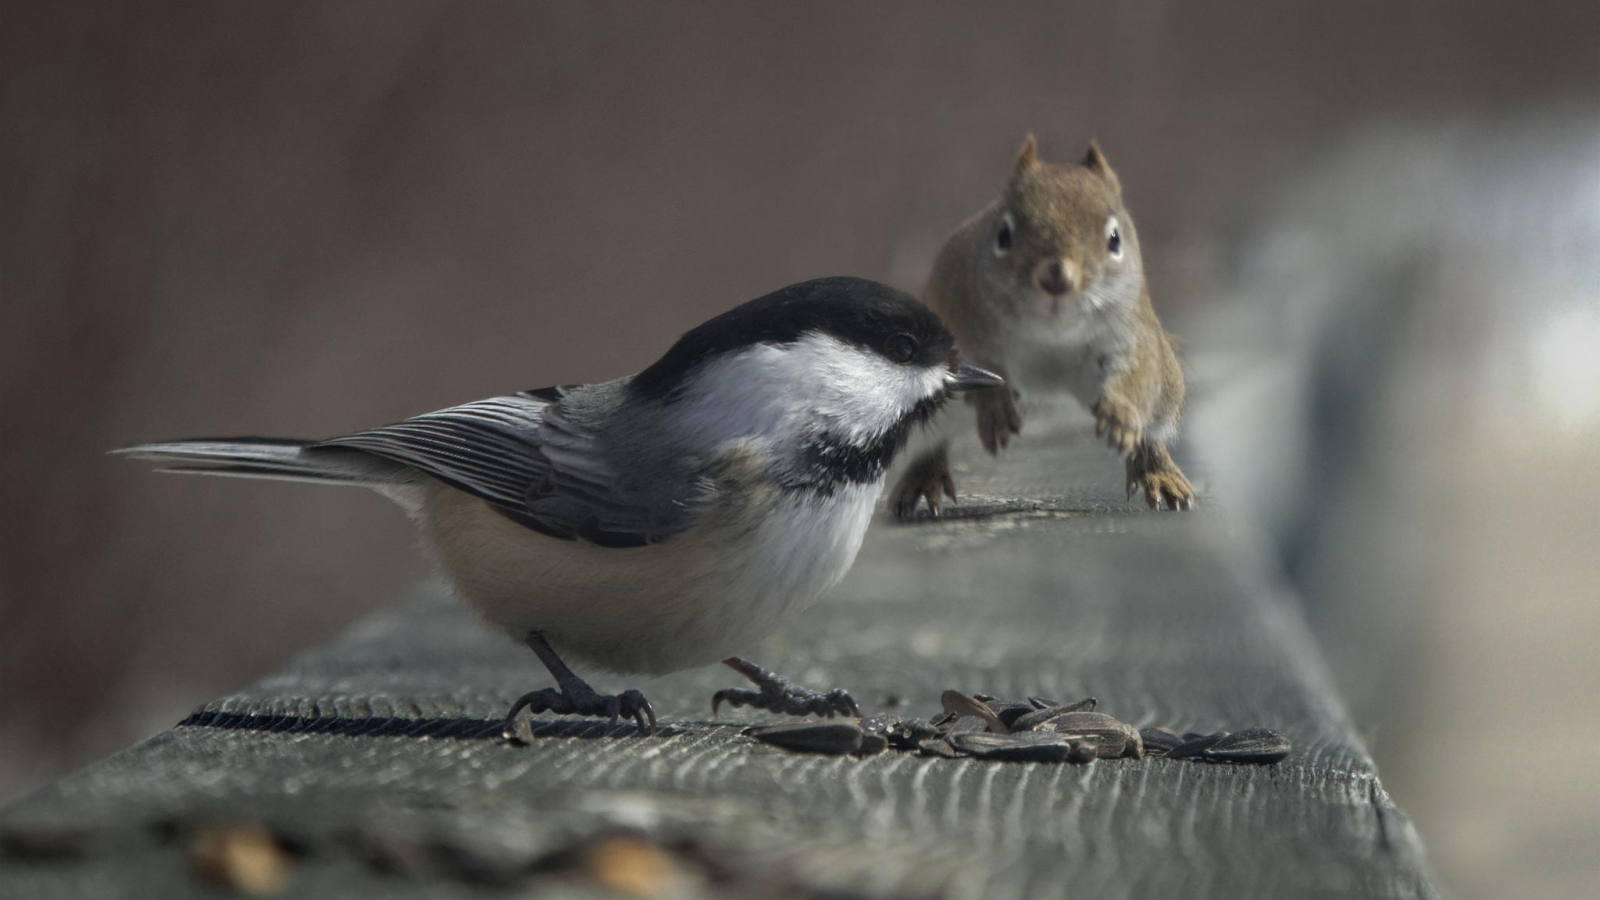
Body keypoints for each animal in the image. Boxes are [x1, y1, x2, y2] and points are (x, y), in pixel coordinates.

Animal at [896, 132, 1196, 512]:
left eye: (1114, 239)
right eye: (1003, 235)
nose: (1057, 277)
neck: (1051, 336)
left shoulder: (1132, 336)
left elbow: (1136, 376)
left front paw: (1121, 413)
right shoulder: (960, 319)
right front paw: (995, 406)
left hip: (1166, 386)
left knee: (1152, 430)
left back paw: (1157, 470)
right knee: (931, 443)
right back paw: (924, 477)